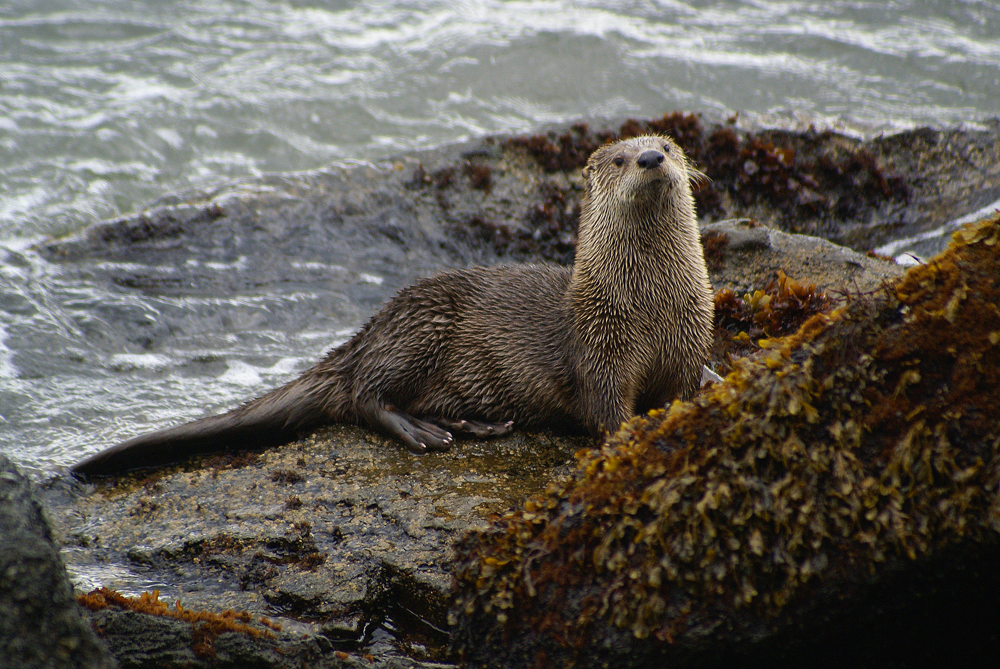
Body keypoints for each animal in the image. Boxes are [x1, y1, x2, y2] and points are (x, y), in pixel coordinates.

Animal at [71, 135, 714, 477]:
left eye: (666, 145)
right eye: (620, 159)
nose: (652, 159)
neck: (650, 307)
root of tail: (365, 332)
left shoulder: (689, 337)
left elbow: (688, 384)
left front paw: (706, 392)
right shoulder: (599, 349)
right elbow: (605, 408)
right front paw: (637, 436)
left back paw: (470, 424)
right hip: (419, 329)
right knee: (364, 396)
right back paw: (422, 431)